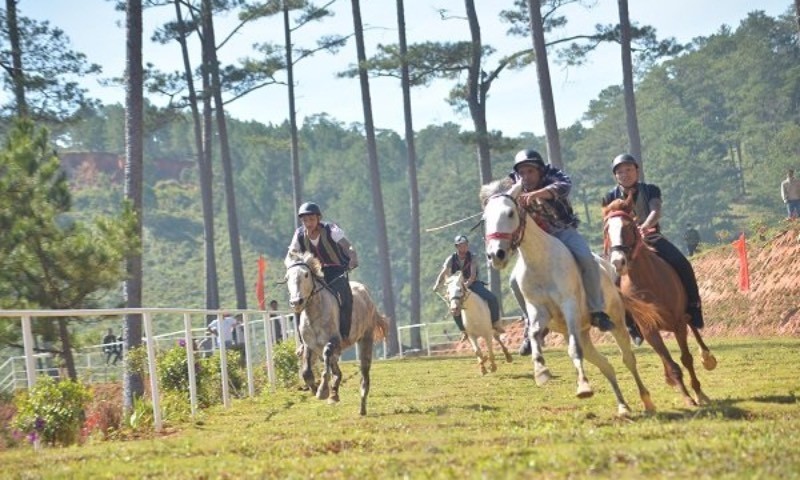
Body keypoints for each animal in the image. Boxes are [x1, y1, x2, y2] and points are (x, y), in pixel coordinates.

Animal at [284, 251, 390, 416]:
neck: (314, 313)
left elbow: (327, 357)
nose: (296, 302)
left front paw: (322, 391)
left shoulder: (334, 341)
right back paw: (334, 393)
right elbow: (307, 371)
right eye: (287, 277)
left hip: (365, 339)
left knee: (364, 375)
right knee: (336, 369)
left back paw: (361, 406)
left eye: (306, 274)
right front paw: (316, 389)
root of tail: (365, 292)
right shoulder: (309, 345)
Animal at [482, 180, 656, 416]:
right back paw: (622, 407)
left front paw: (583, 387)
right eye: (485, 219)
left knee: (627, 359)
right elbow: (535, 334)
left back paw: (647, 401)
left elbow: (574, 351)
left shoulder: (569, 306)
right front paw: (541, 371)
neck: (541, 261)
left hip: (617, 322)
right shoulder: (538, 310)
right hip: (583, 333)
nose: (495, 255)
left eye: (510, 213)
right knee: (605, 364)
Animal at [604, 195, 716, 404]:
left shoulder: (678, 322)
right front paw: (686, 397)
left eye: (629, 227)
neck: (646, 280)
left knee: (693, 324)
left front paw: (698, 393)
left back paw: (707, 357)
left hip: (686, 313)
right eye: (607, 229)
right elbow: (671, 364)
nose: (618, 262)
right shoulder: (649, 329)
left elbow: (686, 358)